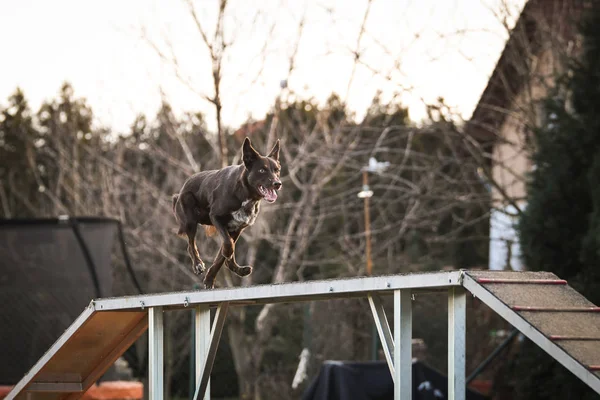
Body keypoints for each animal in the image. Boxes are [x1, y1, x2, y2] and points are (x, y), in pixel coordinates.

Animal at [172, 138, 282, 288]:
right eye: (262, 170)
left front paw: (211, 279)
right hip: (190, 219)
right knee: (191, 245)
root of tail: (180, 192)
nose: (278, 184)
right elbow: (228, 246)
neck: (245, 193)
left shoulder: (237, 228)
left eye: (277, 170)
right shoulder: (216, 217)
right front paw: (228, 260)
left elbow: (222, 255)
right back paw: (198, 264)